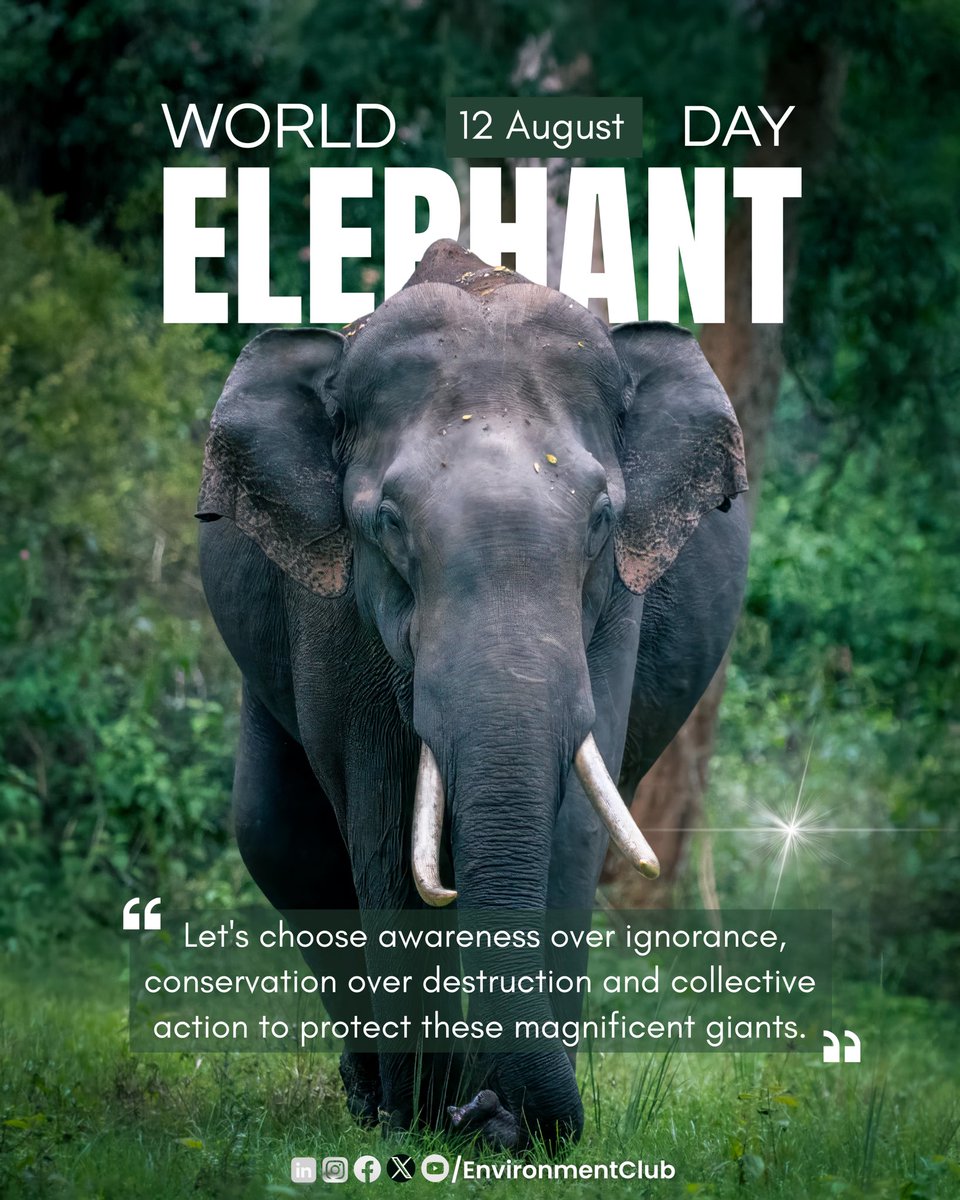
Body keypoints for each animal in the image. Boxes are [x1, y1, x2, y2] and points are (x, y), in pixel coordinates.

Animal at [197, 238, 749, 1150]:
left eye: (602, 518)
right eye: (387, 522)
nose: (489, 1115)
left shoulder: (615, 609)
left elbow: (571, 827)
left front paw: (503, 1127)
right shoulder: (333, 609)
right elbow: (385, 826)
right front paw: (420, 1125)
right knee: (277, 837)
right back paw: (372, 1100)